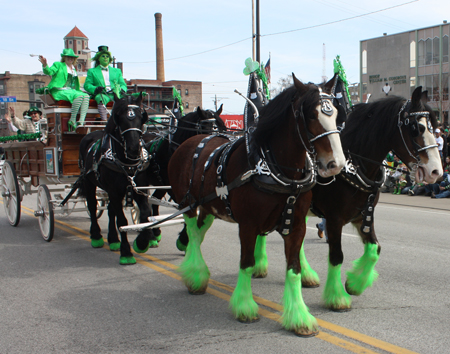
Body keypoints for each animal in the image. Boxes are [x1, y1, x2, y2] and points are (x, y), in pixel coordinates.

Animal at [77, 92, 149, 264]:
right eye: (119, 118)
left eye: (141, 117)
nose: (134, 148)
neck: (128, 163)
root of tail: (90, 133)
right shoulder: (115, 192)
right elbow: (122, 221)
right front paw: (126, 253)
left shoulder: (139, 189)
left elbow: (145, 214)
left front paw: (142, 243)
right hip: (89, 183)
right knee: (92, 206)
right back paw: (96, 236)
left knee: (110, 210)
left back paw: (113, 239)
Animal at [167, 73, 346, 336]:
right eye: (312, 115)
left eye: (334, 114)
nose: (336, 163)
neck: (276, 167)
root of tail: (190, 142)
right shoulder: (248, 224)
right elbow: (246, 262)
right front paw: (244, 306)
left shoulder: (296, 224)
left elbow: (293, 268)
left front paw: (299, 317)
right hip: (188, 204)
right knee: (192, 232)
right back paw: (195, 274)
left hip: (209, 207)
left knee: (198, 233)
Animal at [253, 87, 442, 312]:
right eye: (416, 128)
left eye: (434, 127)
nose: (436, 171)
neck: (356, 164)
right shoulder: (334, 219)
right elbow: (337, 256)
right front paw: (338, 298)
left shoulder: (363, 216)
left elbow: (375, 249)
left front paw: (354, 283)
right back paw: (259, 266)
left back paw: (306, 276)